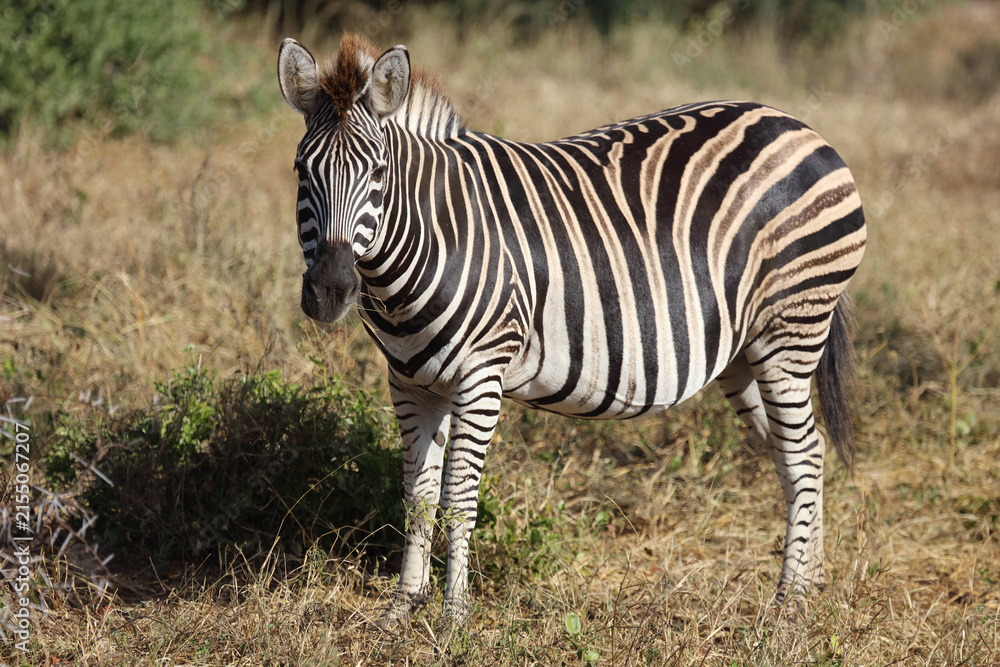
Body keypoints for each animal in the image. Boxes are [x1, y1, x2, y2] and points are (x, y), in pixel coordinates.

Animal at [277, 34, 866, 627]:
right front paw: (402, 608)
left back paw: (789, 601)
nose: (329, 292)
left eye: (378, 173)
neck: (429, 239)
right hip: (744, 353)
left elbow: (459, 498)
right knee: (798, 453)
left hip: (789, 330)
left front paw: (453, 616)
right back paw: (812, 585)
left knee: (804, 453)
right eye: (302, 171)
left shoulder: (480, 374)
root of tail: (797, 126)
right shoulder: (410, 381)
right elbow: (417, 496)